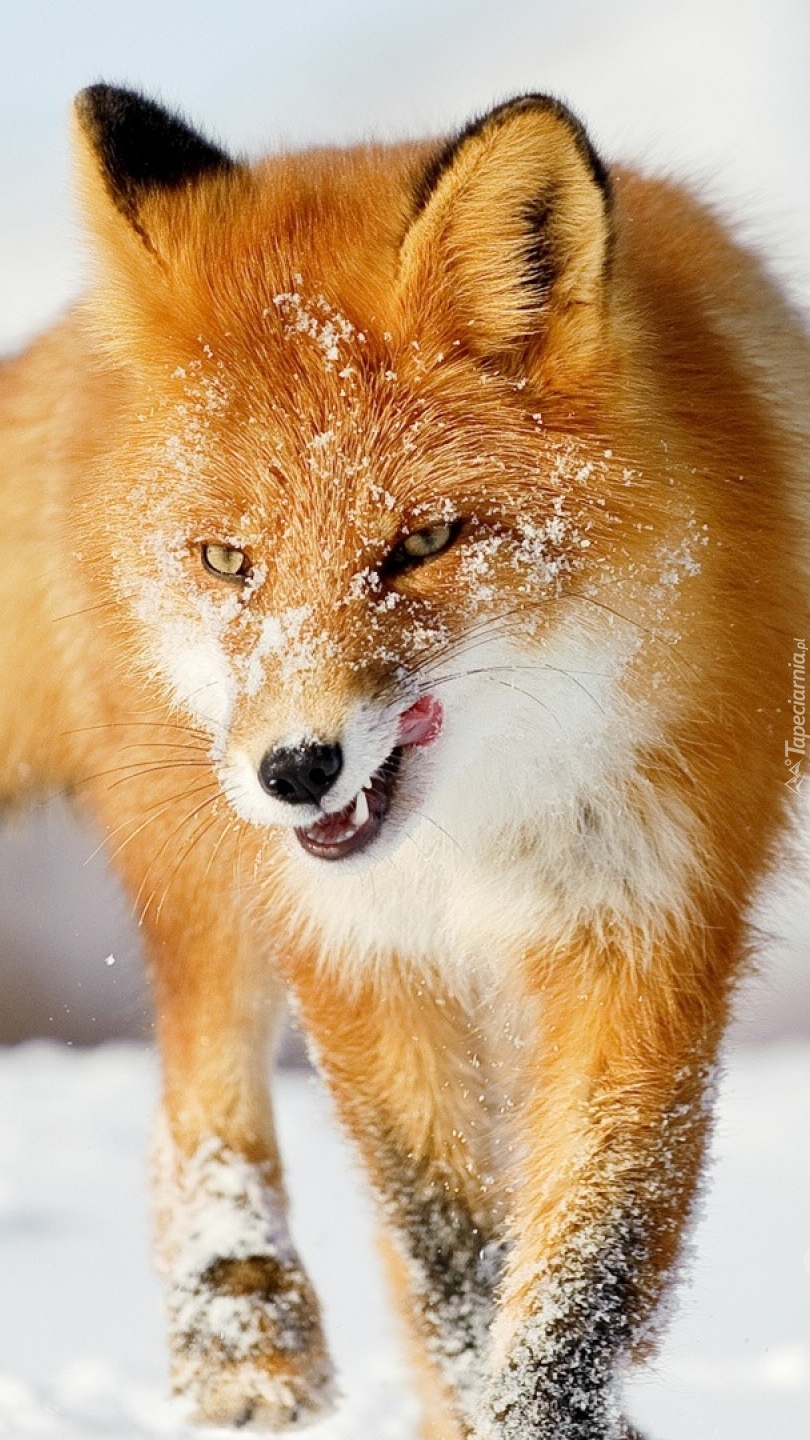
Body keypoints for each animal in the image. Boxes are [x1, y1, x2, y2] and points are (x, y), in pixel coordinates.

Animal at [1, 84, 807, 1434]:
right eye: (229, 561)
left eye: (421, 543)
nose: (296, 772)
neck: (474, 839)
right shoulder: (360, 951)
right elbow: (446, 1246)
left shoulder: (648, 930)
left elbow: (577, 1268)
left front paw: (542, 1411)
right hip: (198, 853)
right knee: (199, 1089)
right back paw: (244, 1329)